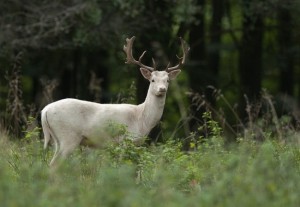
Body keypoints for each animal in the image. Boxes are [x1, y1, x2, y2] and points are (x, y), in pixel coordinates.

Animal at [41, 36, 190, 167]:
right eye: (152, 80)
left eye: (167, 80)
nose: (162, 89)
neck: (141, 119)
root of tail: (44, 111)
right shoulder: (124, 140)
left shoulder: (136, 144)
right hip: (68, 136)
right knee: (54, 165)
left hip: (57, 139)